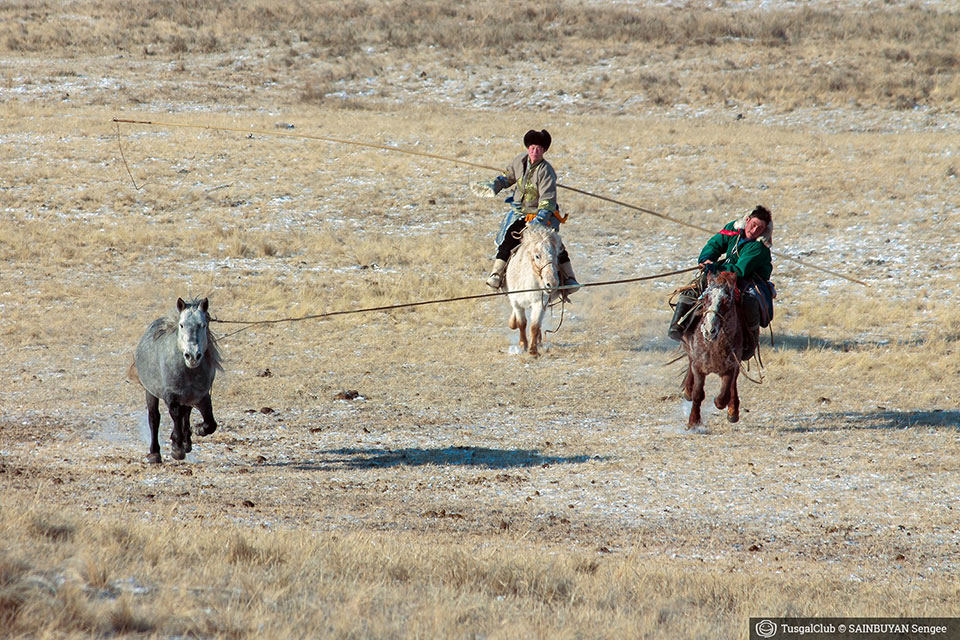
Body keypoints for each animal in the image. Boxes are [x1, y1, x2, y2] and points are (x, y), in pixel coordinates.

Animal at [128, 297, 223, 463]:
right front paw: (177, 449)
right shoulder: (171, 396)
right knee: (154, 418)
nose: (192, 356)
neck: (188, 372)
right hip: (150, 392)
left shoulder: (201, 397)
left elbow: (210, 423)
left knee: (186, 414)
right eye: (182, 324)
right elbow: (175, 416)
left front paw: (198, 430)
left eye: (203, 325)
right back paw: (155, 453)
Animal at [504, 223, 562, 356]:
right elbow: (522, 323)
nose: (552, 283)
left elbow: (535, 325)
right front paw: (523, 345)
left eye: (556, 255)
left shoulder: (539, 303)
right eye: (537, 256)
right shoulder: (516, 302)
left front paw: (533, 350)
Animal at [681, 271, 743, 427]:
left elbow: (724, 395)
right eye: (706, 297)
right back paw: (687, 391)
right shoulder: (698, 367)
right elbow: (698, 394)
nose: (709, 330)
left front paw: (723, 405)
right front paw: (693, 421)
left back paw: (733, 411)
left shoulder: (731, 367)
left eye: (727, 300)